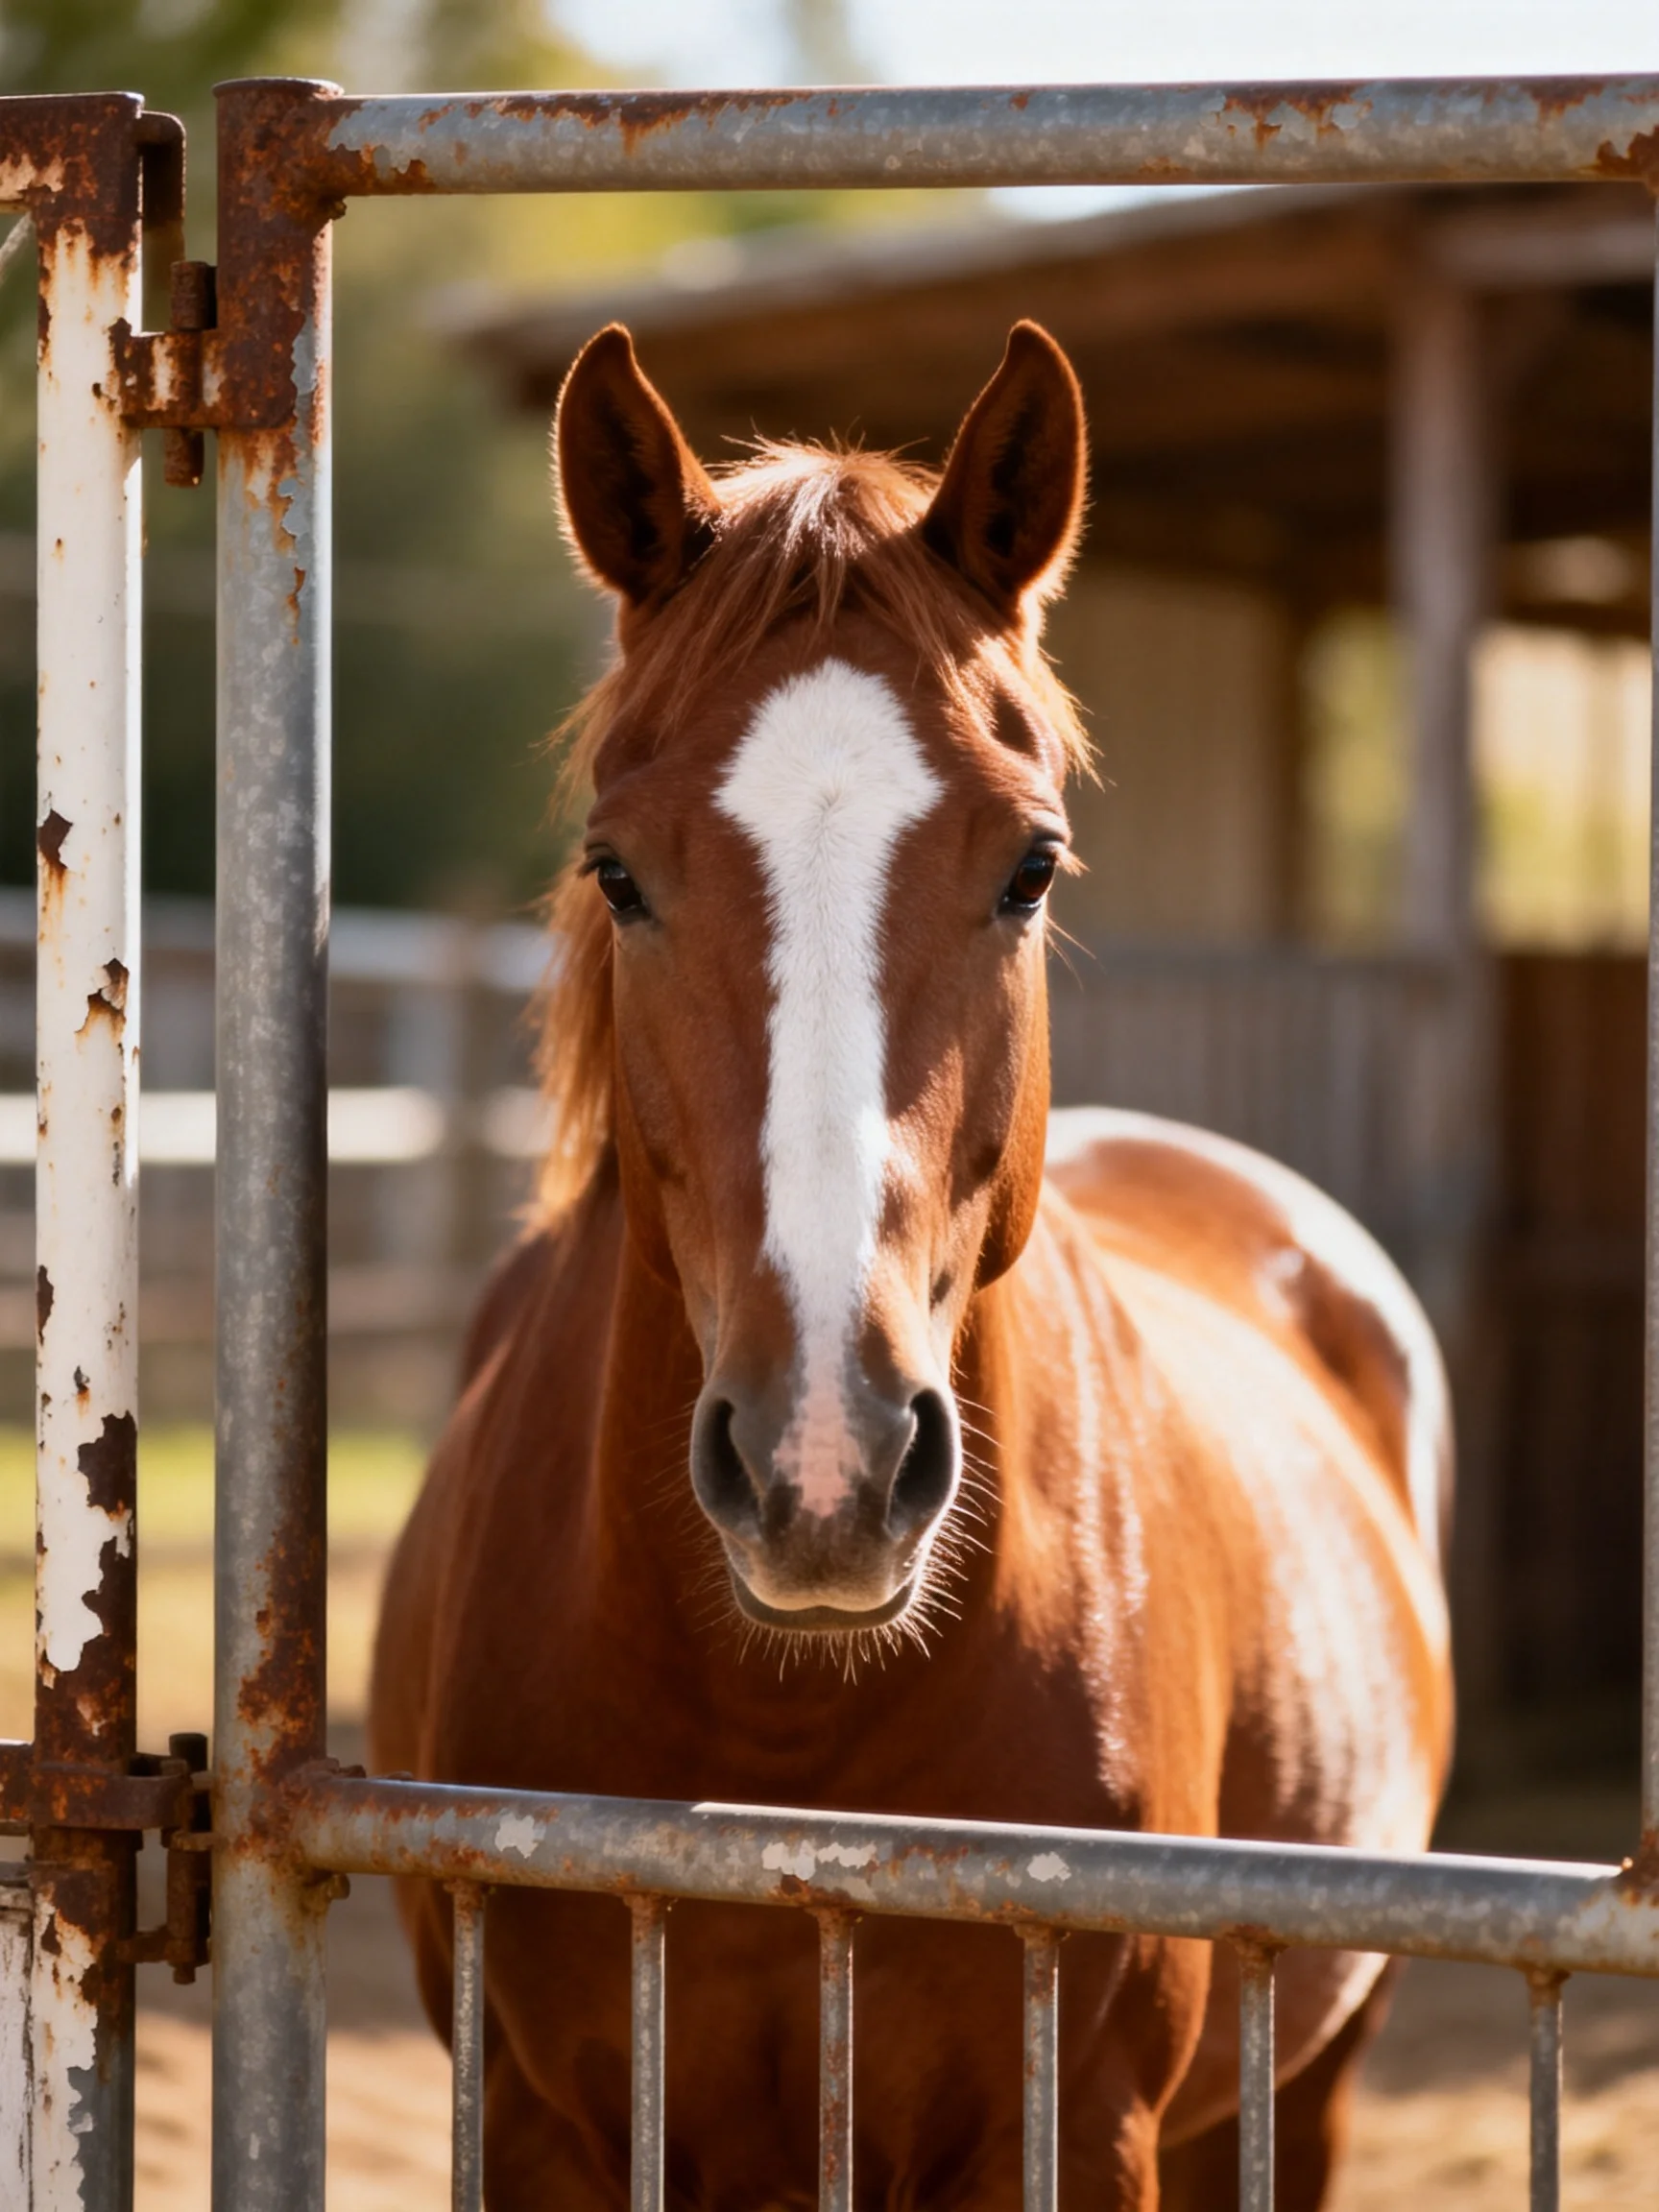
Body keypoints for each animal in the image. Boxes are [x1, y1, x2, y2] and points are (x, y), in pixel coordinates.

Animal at [370, 318, 1454, 2210]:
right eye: (613, 871)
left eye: (1030, 864)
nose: (827, 1467)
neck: (787, 1745)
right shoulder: (532, 2122)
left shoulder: (1069, 2126)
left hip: (1308, 2073)